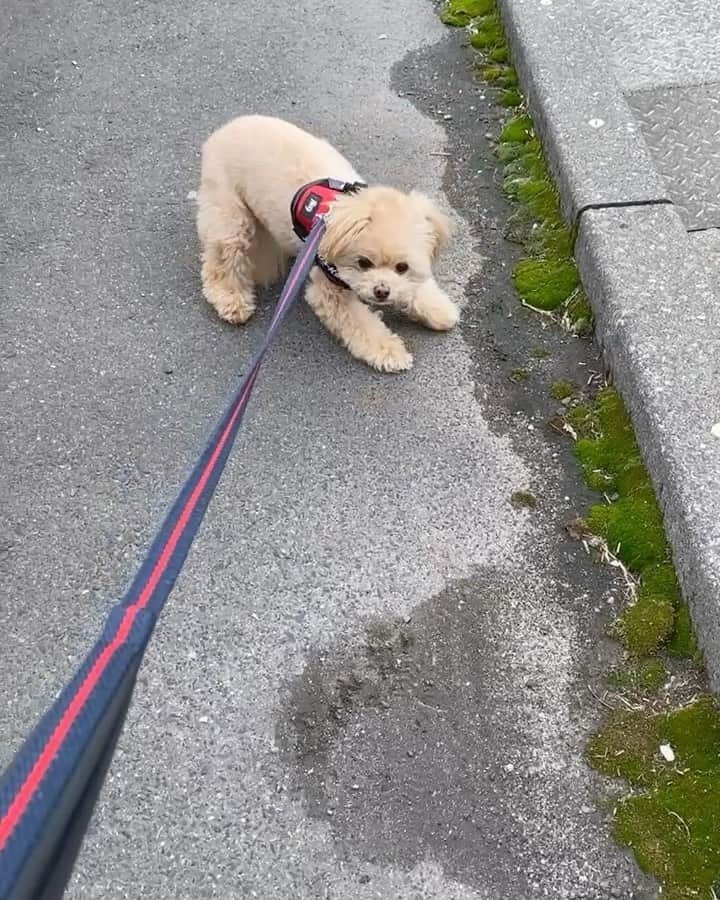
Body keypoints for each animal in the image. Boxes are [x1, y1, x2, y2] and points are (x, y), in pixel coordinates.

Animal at [194, 115, 458, 370]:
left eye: (402, 267)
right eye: (363, 263)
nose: (382, 291)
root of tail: (225, 129)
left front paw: (438, 309)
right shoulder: (330, 287)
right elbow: (362, 324)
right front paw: (389, 352)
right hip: (230, 216)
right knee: (222, 260)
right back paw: (231, 300)